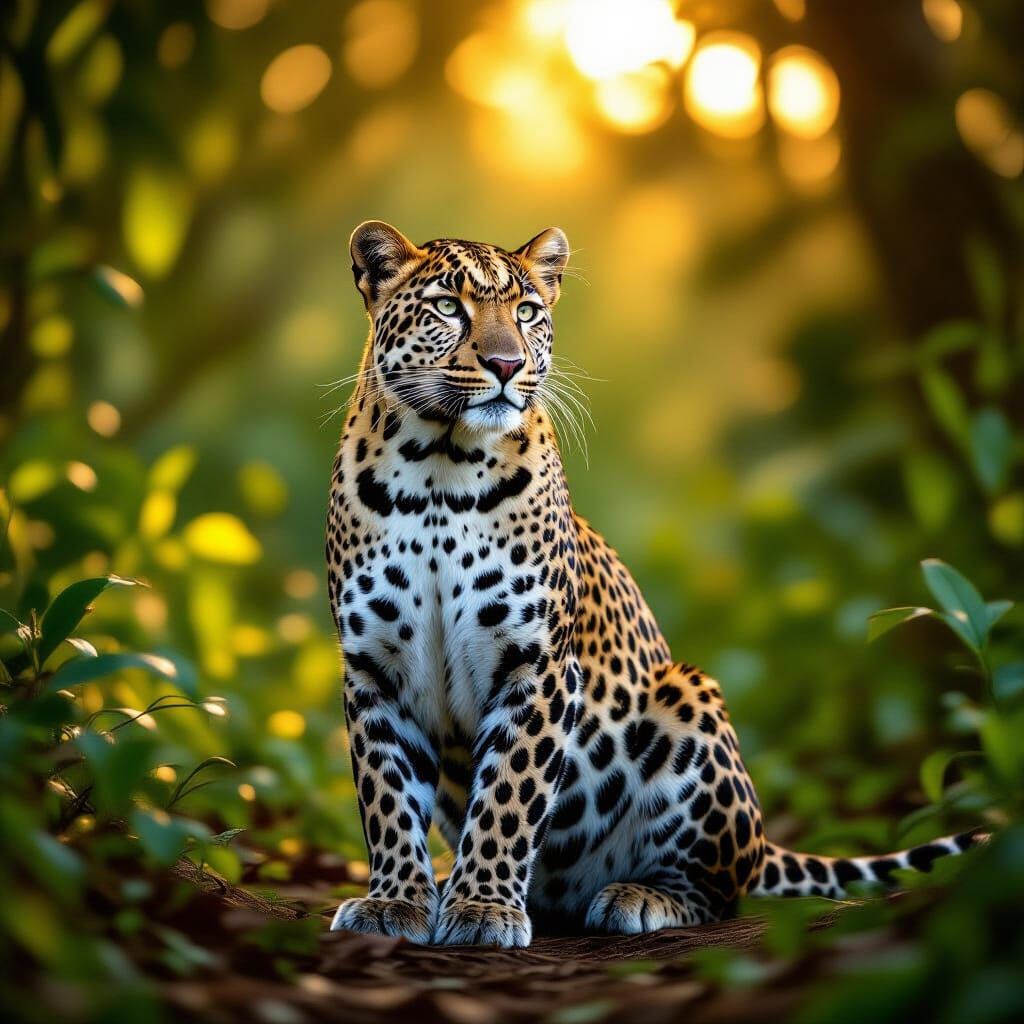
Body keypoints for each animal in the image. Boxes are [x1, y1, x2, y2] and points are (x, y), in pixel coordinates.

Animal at [324, 221, 980, 948]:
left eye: (526, 312)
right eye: (447, 307)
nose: (506, 365)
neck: (439, 467)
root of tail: (760, 844)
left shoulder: (537, 664)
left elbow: (508, 796)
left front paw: (481, 907)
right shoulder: (374, 667)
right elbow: (386, 796)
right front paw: (396, 901)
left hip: (688, 699)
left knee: (720, 890)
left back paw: (638, 898)